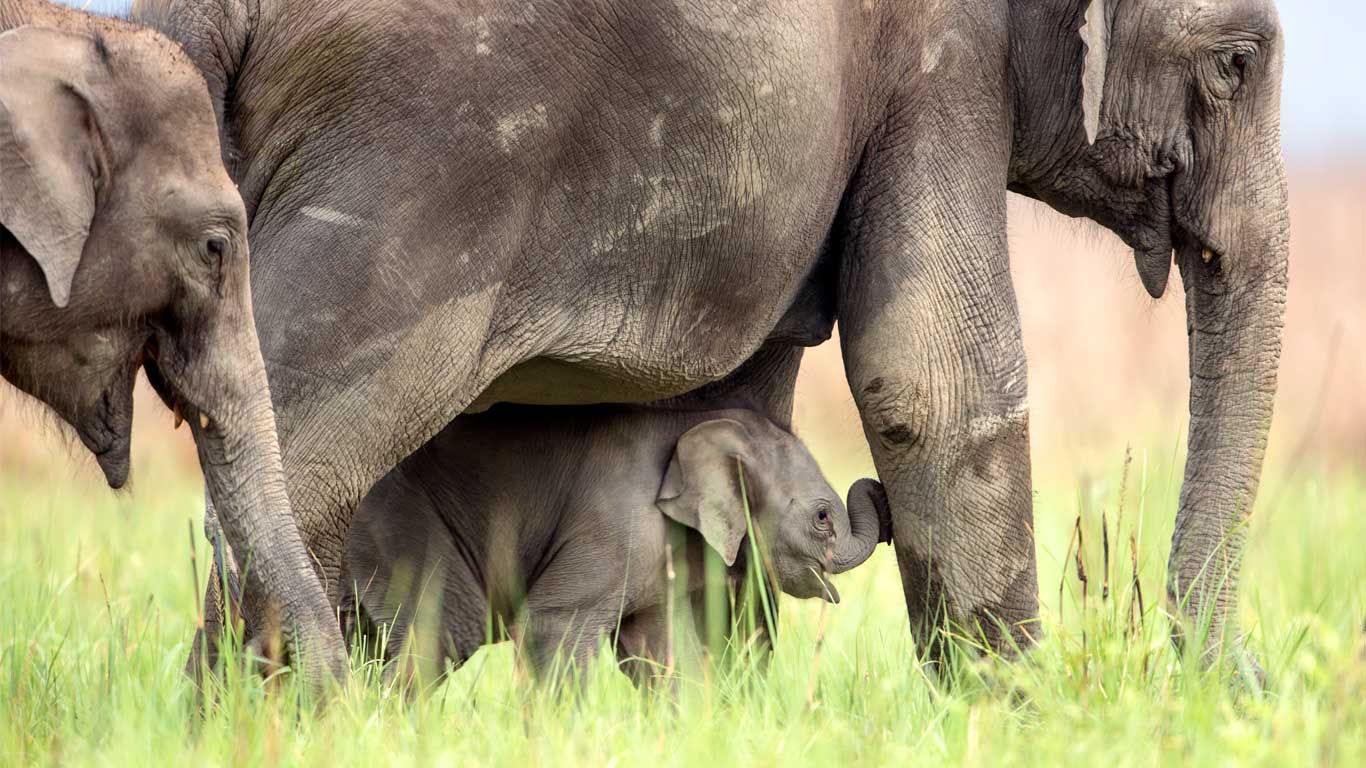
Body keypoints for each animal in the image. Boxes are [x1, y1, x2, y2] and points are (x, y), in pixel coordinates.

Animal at [338, 404, 890, 682]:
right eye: (823, 518)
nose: (878, 488)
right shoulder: (616, 527)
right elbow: (552, 626)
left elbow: (658, 649)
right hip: (402, 530)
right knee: (443, 636)